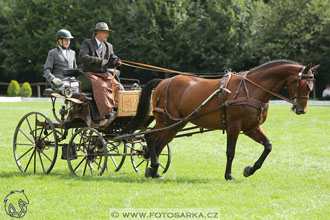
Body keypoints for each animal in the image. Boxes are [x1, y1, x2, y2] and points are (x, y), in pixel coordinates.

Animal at [122, 60, 318, 180]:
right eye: (303, 85)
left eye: (312, 86)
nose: (301, 110)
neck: (252, 89)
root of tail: (164, 82)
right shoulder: (234, 126)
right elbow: (230, 152)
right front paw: (229, 175)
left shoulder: (251, 128)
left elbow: (268, 146)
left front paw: (250, 169)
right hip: (166, 121)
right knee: (150, 137)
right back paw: (153, 165)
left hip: (177, 123)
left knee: (160, 143)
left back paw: (153, 170)